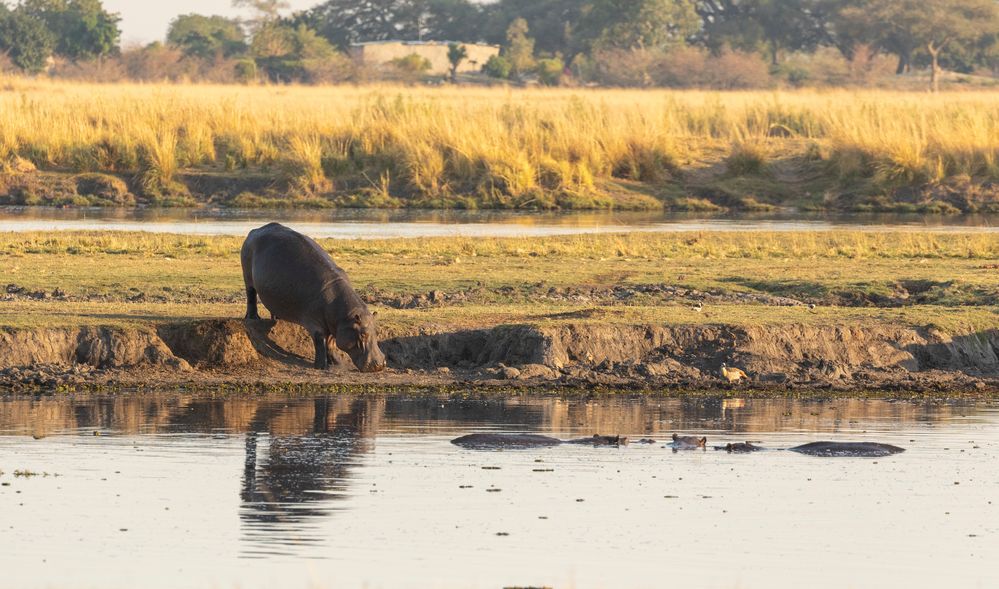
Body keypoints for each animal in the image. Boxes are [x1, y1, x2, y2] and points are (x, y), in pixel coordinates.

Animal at [240, 223, 388, 370]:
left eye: (377, 332)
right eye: (362, 334)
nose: (380, 364)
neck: (345, 315)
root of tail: (255, 230)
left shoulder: (334, 324)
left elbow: (331, 342)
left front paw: (336, 362)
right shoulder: (315, 322)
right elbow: (320, 342)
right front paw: (321, 366)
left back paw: (277, 318)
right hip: (247, 277)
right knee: (251, 295)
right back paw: (253, 317)